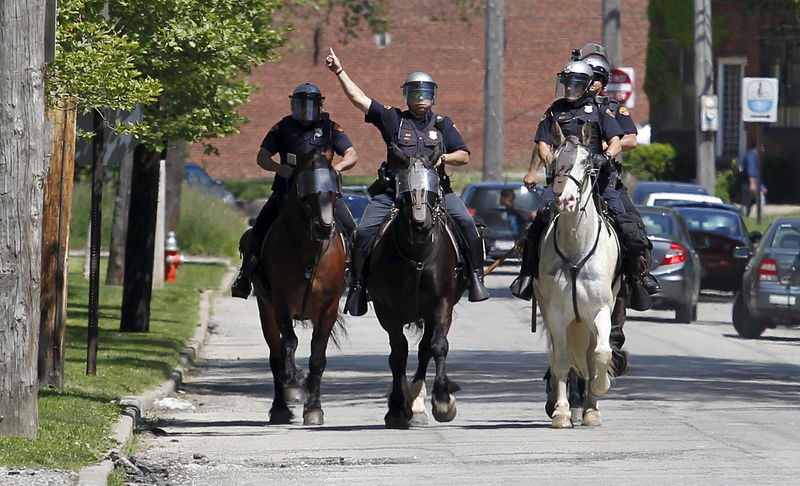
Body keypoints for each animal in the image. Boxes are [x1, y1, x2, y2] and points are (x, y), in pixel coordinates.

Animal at [252, 149, 346, 426]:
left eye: (335, 193)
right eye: (306, 194)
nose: (324, 228)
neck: (310, 253)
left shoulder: (328, 309)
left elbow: (317, 357)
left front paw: (314, 408)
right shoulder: (281, 302)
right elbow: (289, 344)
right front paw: (294, 384)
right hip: (266, 310)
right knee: (276, 355)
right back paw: (280, 407)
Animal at [366, 145, 466, 430]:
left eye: (432, 186)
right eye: (404, 188)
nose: (421, 225)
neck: (417, 254)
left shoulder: (441, 304)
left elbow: (437, 346)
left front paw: (443, 401)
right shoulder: (387, 310)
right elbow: (398, 354)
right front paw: (397, 407)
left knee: (425, 350)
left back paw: (420, 401)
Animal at [536, 123, 620, 428]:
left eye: (586, 162)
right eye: (554, 160)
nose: (566, 199)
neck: (576, 247)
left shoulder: (600, 310)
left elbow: (601, 353)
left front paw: (598, 390)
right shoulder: (557, 315)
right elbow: (561, 360)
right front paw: (561, 412)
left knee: (591, 352)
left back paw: (589, 405)